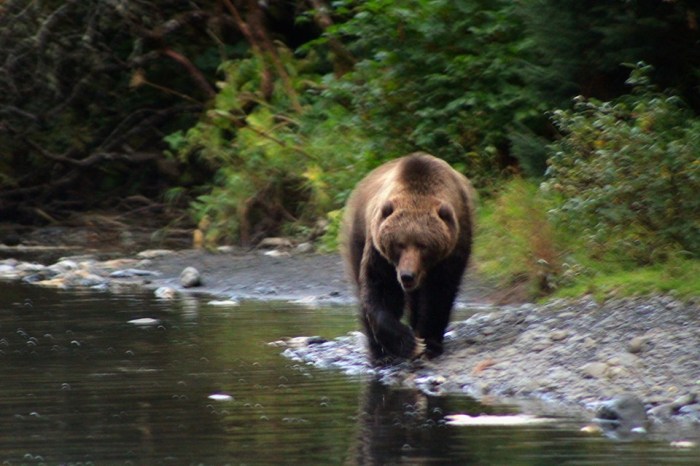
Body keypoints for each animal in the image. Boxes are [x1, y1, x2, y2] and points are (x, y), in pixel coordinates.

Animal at [341, 152, 474, 363]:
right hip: (357, 234)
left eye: (423, 245)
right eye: (399, 244)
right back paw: (378, 352)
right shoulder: (380, 252)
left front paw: (428, 342)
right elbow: (382, 288)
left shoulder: (452, 249)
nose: (407, 275)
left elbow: (439, 293)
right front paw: (408, 343)